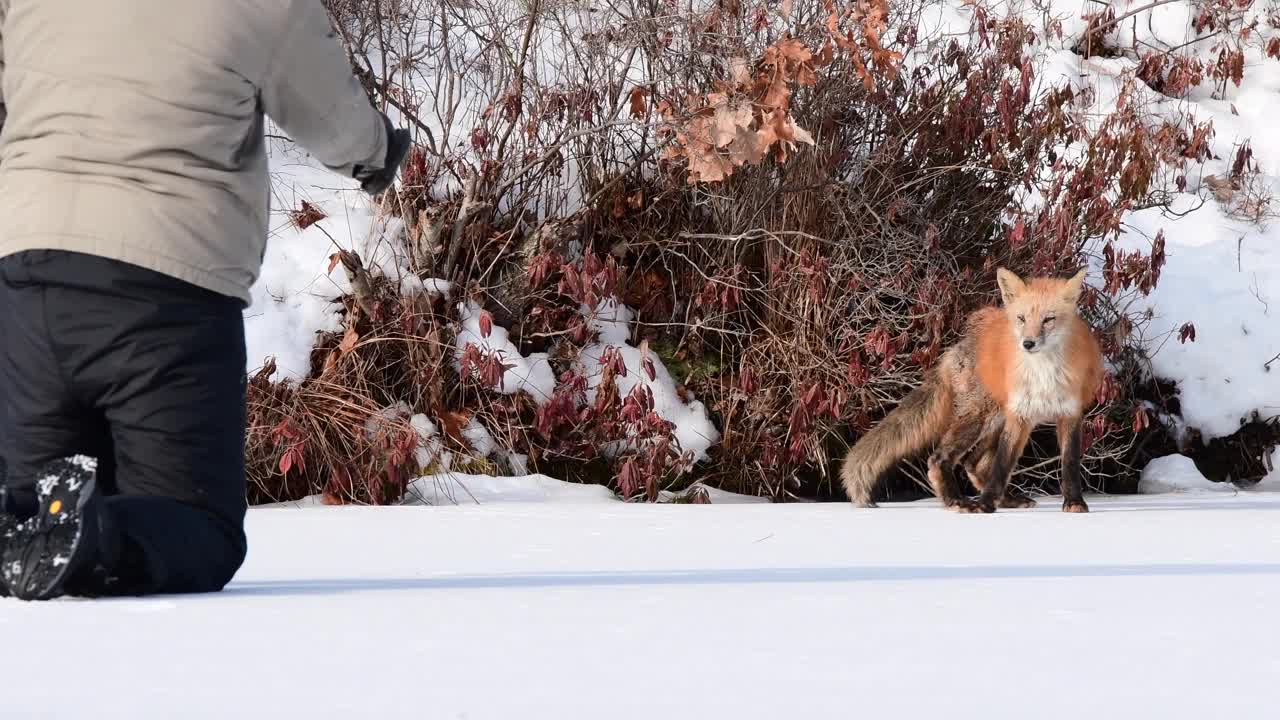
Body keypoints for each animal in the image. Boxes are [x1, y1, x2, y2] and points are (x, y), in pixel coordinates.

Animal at [844, 267, 1105, 509]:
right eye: (1021, 318)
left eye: (1048, 320)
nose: (1028, 343)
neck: (1043, 373)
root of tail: (954, 349)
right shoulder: (1019, 416)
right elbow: (1002, 465)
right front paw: (984, 506)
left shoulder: (1069, 413)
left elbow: (1070, 464)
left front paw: (1075, 503)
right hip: (981, 417)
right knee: (939, 459)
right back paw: (957, 501)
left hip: (994, 423)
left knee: (974, 463)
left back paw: (1005, 500)